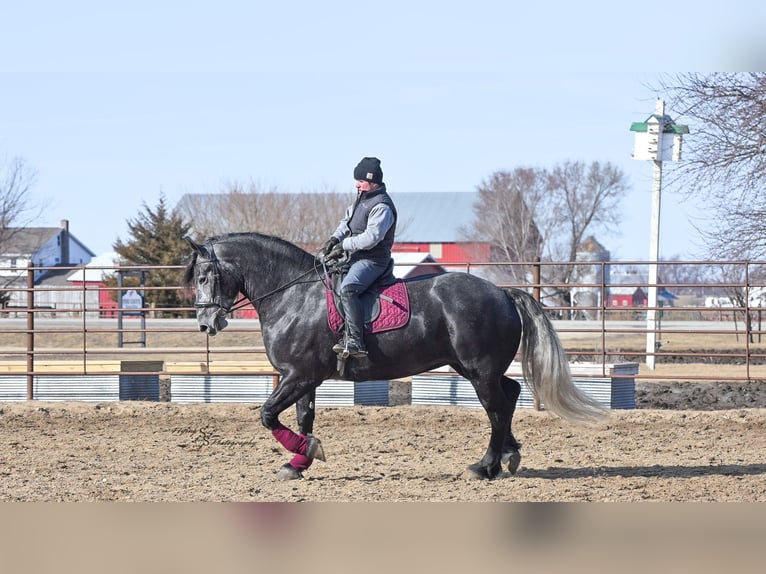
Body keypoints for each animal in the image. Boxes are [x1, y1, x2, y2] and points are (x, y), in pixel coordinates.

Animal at [184, 232, 606, 480]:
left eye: (204, 276)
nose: (206, 323)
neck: (294, 296)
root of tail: (502, 293)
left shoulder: (298, 376)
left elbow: (268, 415)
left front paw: (306, 453)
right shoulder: (304, 377)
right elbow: (304, 418)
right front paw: (299, 462)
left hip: (479, 371)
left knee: (498, 408)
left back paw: (486, 466)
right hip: (471, 368)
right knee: (512, 394)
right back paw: (509, 455)